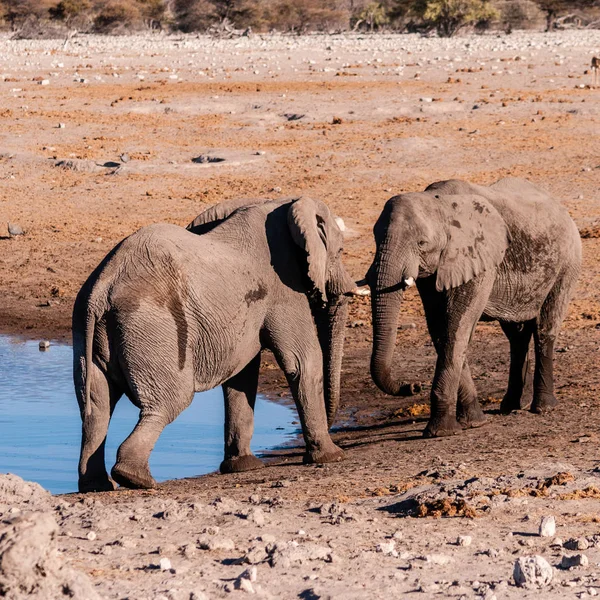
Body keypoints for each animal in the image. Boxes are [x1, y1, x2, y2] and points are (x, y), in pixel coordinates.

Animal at [72, 197, 358, 492]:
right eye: (340, 251)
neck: (279, 205)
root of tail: (101, 290)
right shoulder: (284, 287)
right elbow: (302, 362)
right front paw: (332, 457)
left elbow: (242, 376)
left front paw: (242, 467)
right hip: (153, 325)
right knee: (169, 401)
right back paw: (136, 478)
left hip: (87, 330)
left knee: (96, 408)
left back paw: (98, 485)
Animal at [364, 176, 584, 438]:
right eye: (376, 238)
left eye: (422, 243)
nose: (414, 386)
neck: (440, 204)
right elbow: (441, 331)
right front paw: (473, 422)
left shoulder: (477, 258)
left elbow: (455, 328)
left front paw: (441, 432)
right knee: (516, 336)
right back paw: (510, 407)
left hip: (568, 262)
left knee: (545, 327)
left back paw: (543, 408)